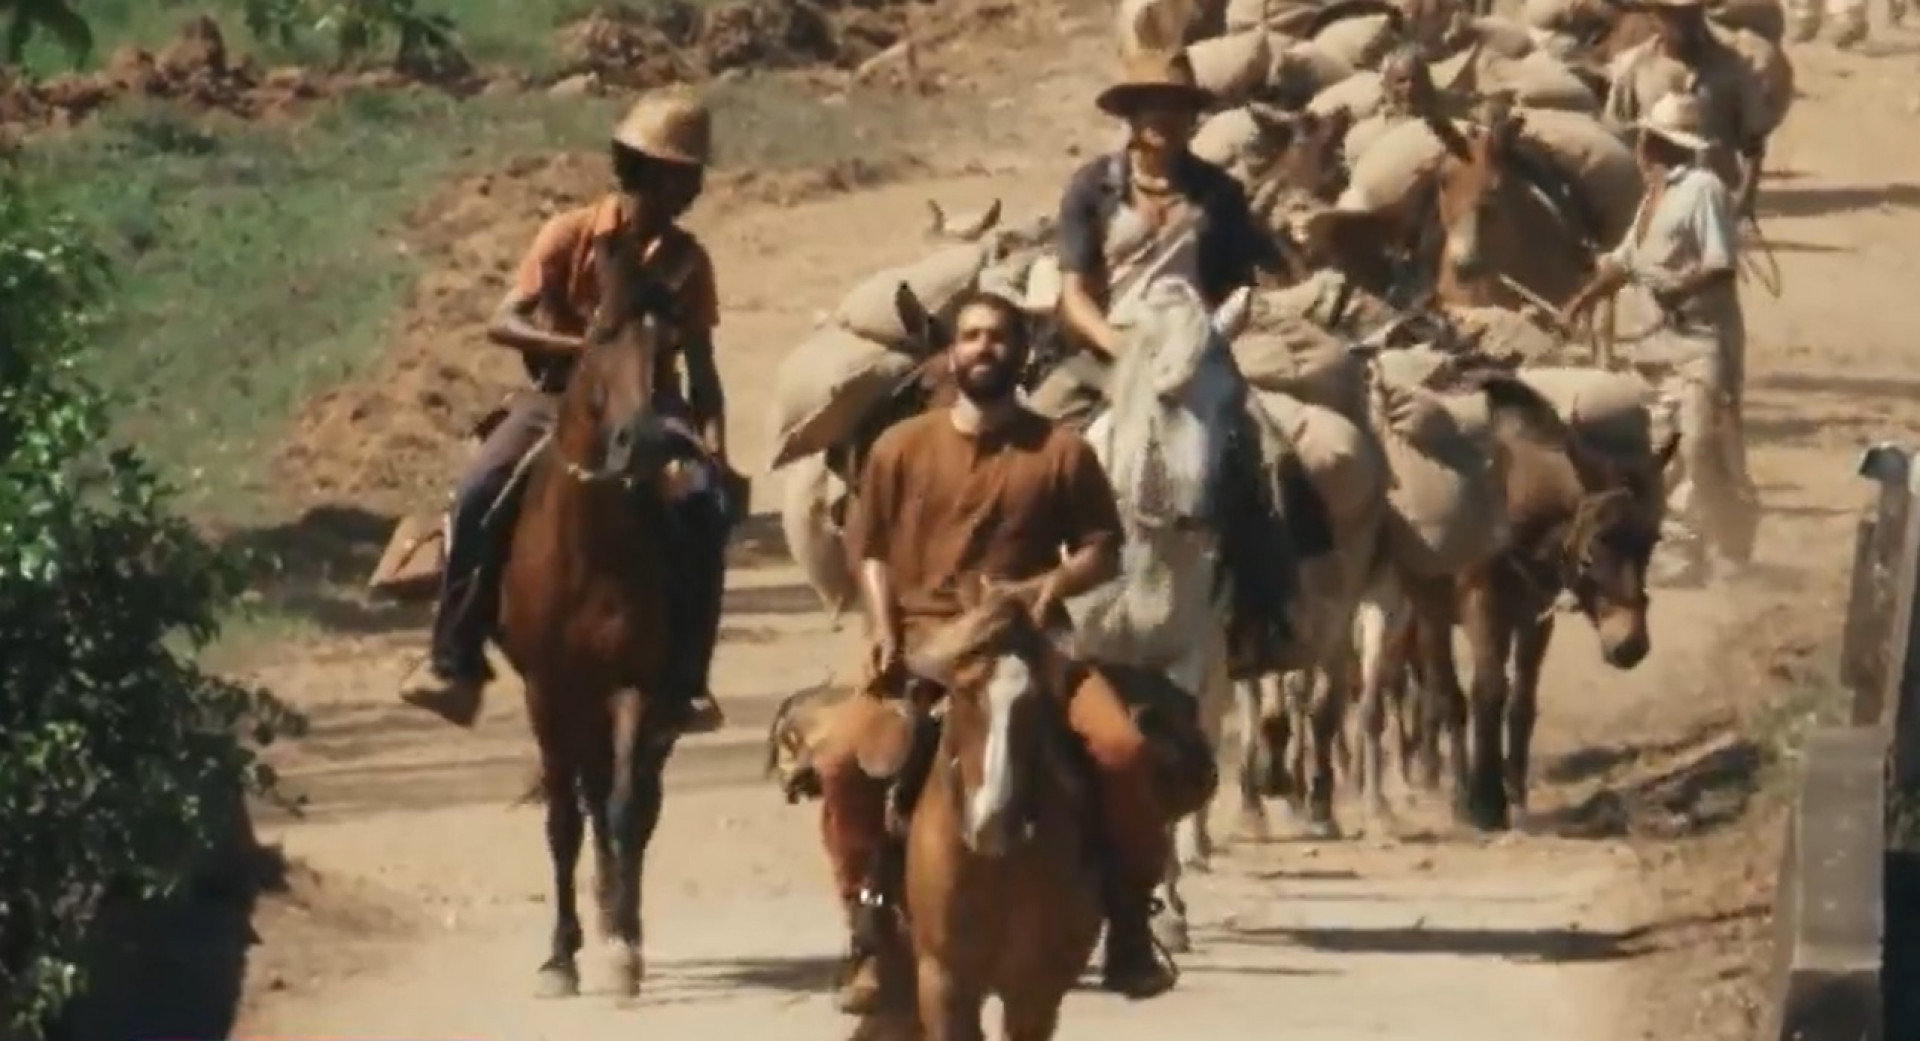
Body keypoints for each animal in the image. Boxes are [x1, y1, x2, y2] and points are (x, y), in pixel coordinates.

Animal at [495, 239, 706, 1006]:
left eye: (669, 344)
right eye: (601, 334)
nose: (642, 443)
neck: (590, 548)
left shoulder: (634, 685)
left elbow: (621, 809)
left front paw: (621, 950)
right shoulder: (546, 690)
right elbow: (563, 820)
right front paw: (561, 956)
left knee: (634, 807)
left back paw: (621, 919)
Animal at [1390, 370, 1674, 837]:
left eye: (1651, 542)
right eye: (1596, 546)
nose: (1630, 646)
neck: (1514, 498)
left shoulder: (1534, 616)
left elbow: (1522, 699)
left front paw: (1515, 793)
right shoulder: (1482, 606)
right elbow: (1487, 691)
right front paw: (1485, 804)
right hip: (1428, 606)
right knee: (1442, 691)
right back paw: (1451, 788)